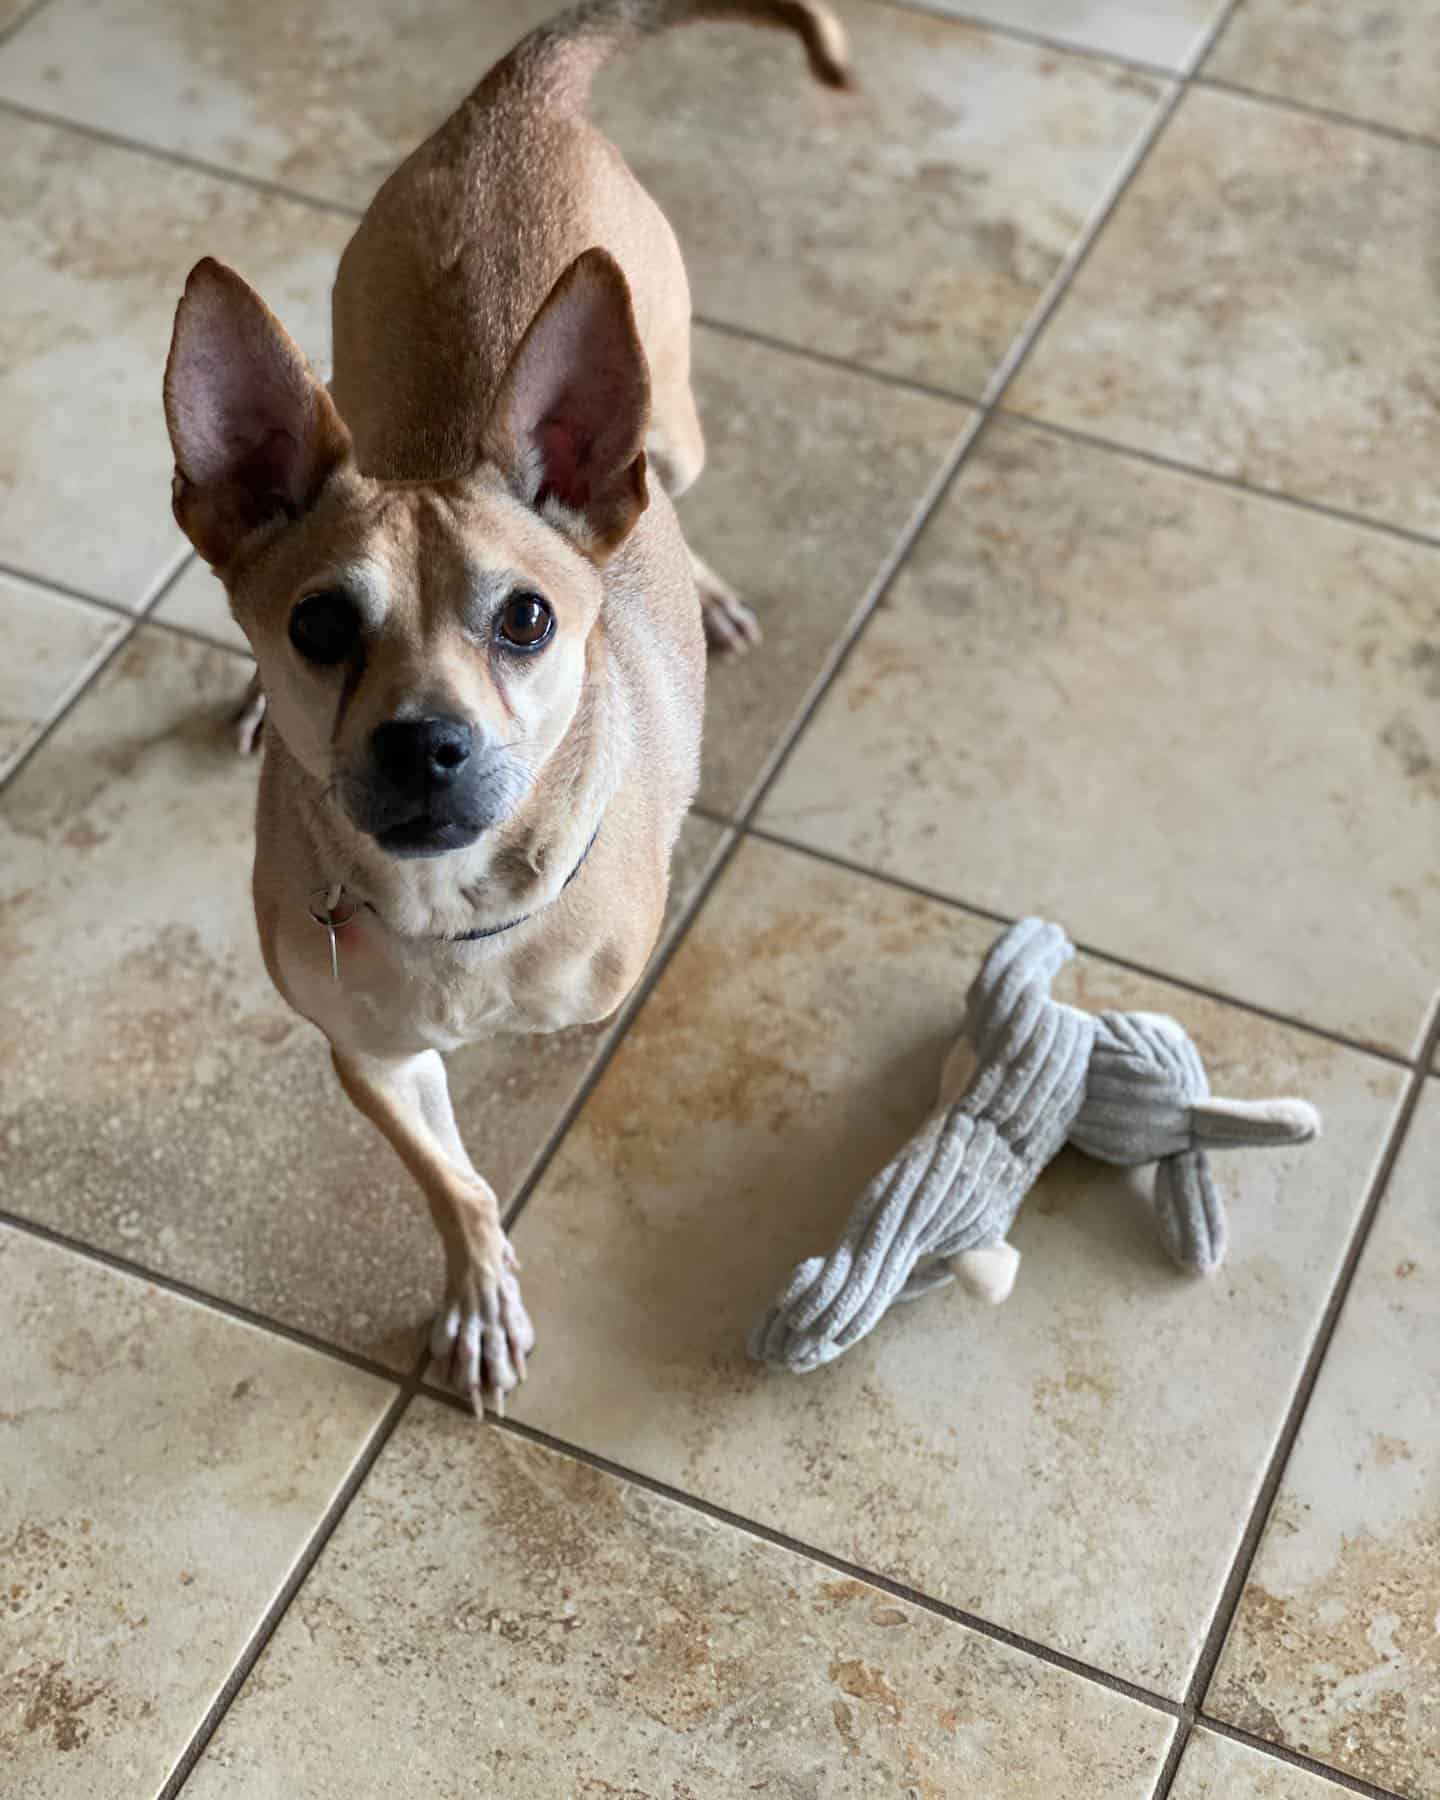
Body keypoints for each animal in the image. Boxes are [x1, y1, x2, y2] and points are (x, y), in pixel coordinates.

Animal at [162, 0, 849, 1411]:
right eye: (319, 625)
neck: (450, 917)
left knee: (663, 483)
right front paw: (478, 1293)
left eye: (527, 619)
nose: (426, 744)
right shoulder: (365, 1051)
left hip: (670, 416)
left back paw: (699, 584)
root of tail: (516, 101)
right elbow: (452, 1179)